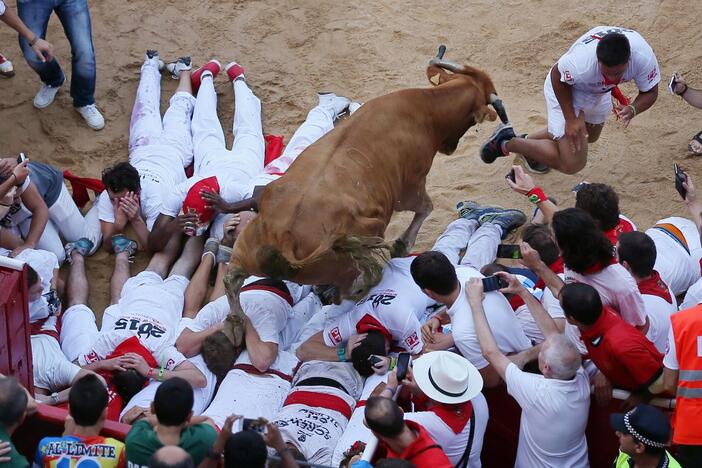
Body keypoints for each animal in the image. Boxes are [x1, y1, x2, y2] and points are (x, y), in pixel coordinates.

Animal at [206, 50, 508, 372]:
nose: (451, 147)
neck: (424, 108)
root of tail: (285, 239)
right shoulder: (410, 190)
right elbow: (426, 207)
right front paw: (400, 245)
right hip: (345, 266)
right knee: (358, 283)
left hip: (246, 247)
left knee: (231, 279)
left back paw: (235, 323)